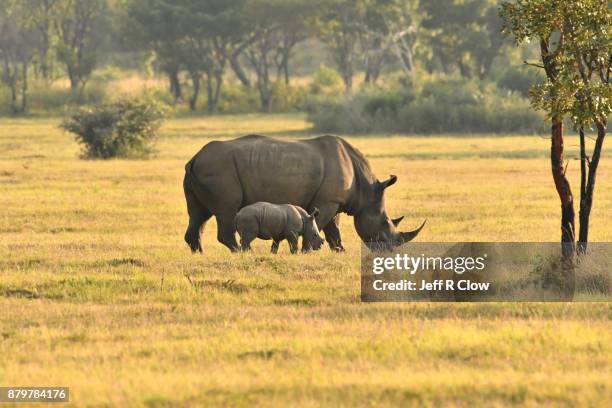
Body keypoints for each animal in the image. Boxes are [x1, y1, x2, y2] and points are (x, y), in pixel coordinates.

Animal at [183, 135, 426, 253]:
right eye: (385, 224)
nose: (390, 251)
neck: (365, 191)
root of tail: (194, 158)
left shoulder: (334, 200)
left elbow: (333, 229)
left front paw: (340, 250)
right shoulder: (328, 201)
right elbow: (321, 223)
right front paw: (309, 250)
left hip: (201, 171)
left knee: (198, 216)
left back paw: (199, 254)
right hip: (219, 170)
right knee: (226, 210)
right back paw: (243, 252)